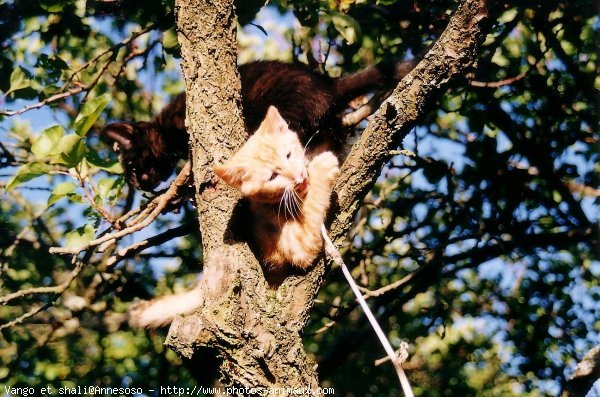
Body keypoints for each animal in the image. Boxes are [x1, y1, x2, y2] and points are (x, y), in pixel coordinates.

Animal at [214, 105, 338, 270]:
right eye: (273, 177)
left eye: (288, 155)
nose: (298, 176)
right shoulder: (298, 247)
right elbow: (312, 209)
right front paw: (321, 168)